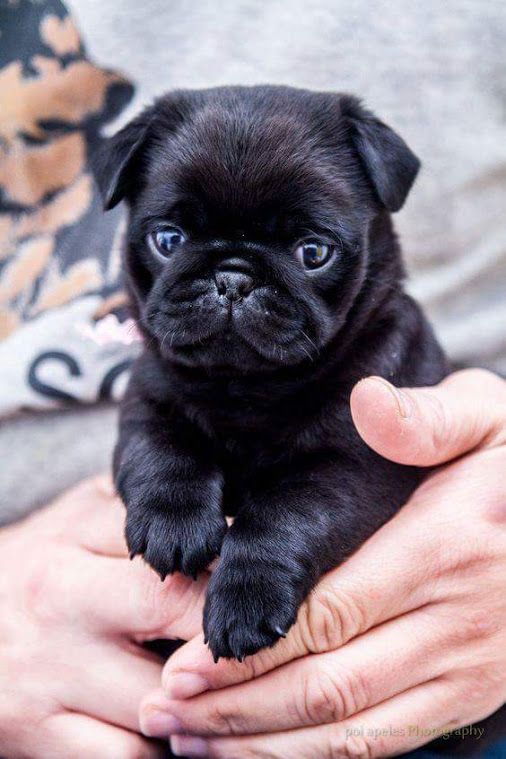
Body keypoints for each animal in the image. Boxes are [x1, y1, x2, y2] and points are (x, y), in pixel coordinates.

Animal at [94, 86, 446, 664]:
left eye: (313, 252)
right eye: (168, 240)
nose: (233, 276)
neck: (246, 387)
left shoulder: (353, 460)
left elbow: (287, 514)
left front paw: (247, 596)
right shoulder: (148, 400)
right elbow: (160, 451)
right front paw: (173, 522)